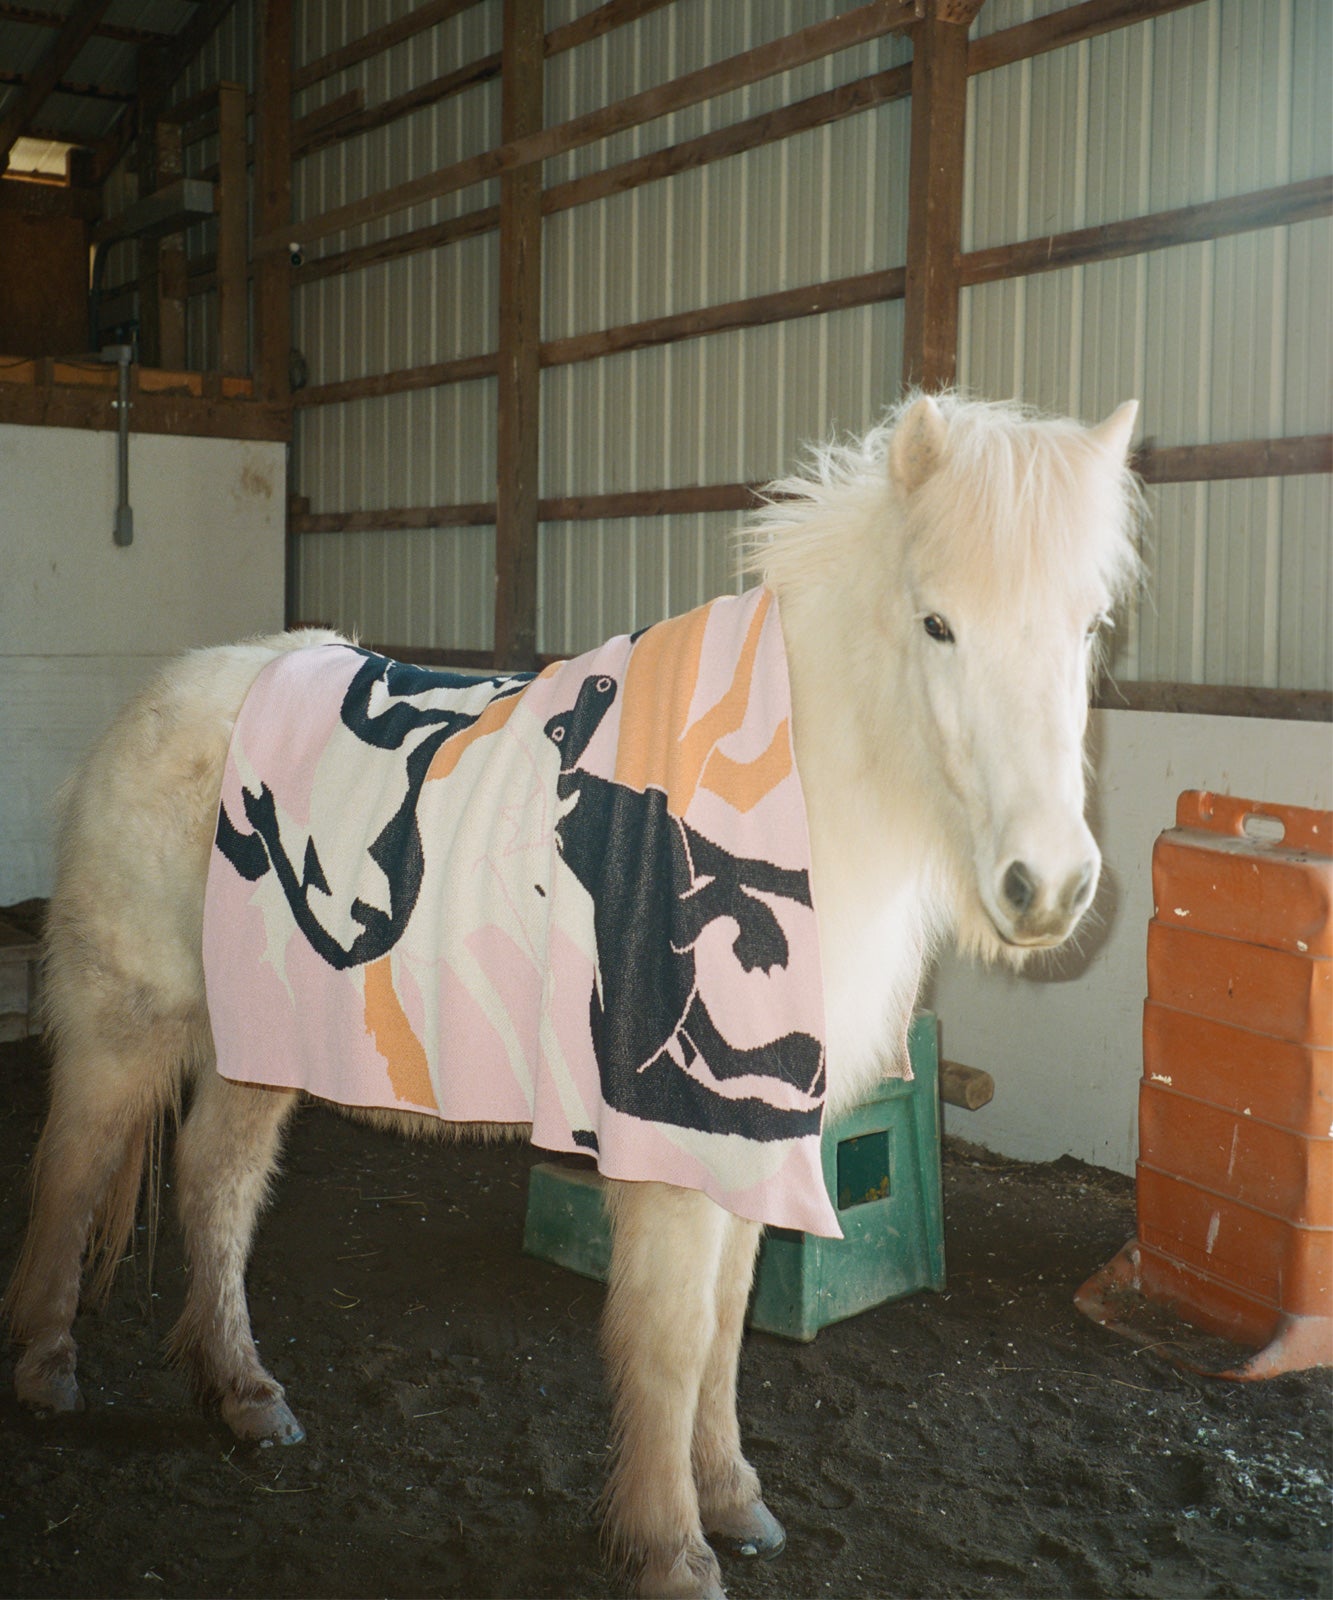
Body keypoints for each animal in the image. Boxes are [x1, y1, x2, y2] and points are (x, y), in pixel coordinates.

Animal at [3, 391, 1142, 1600]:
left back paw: (244, 1396)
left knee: (216, 1187)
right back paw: (46, 1368)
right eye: (936, 624)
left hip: (258, 1040)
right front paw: (671, 1545)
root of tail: (155, 703)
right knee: (72, 1171)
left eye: (1087, 628)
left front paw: (733, 1498)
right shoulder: (668, 1146)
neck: (799, 789)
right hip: (126, 1021)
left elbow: (727, 1323)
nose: (1047, 885)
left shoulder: (745, 1138)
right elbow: (672, 1337)